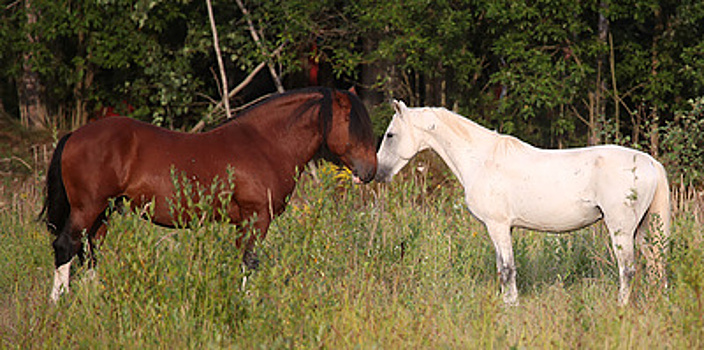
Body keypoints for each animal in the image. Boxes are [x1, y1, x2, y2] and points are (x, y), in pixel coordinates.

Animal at [41, 87, 376, 300]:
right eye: (352, 125)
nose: (371, 171)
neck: (265, 144)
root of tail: (74, 135)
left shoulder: (244, 223)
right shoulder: (256, 218)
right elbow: (249, 261)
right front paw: (245, 304)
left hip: (103, 212)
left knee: (90, 251)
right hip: (87, 208)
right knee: (66, 246)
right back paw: (59, 303)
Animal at [376, 100, 672, 304]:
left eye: (390, 135)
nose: (378, 173)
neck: (482, 160)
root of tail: (650, 162)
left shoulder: (497, 226)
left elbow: (507, 270)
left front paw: (510, 308)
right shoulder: (503, 229)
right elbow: (503, 268)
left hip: (621, 230)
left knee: (628, 270)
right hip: (642, 230)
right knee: (656, 265)